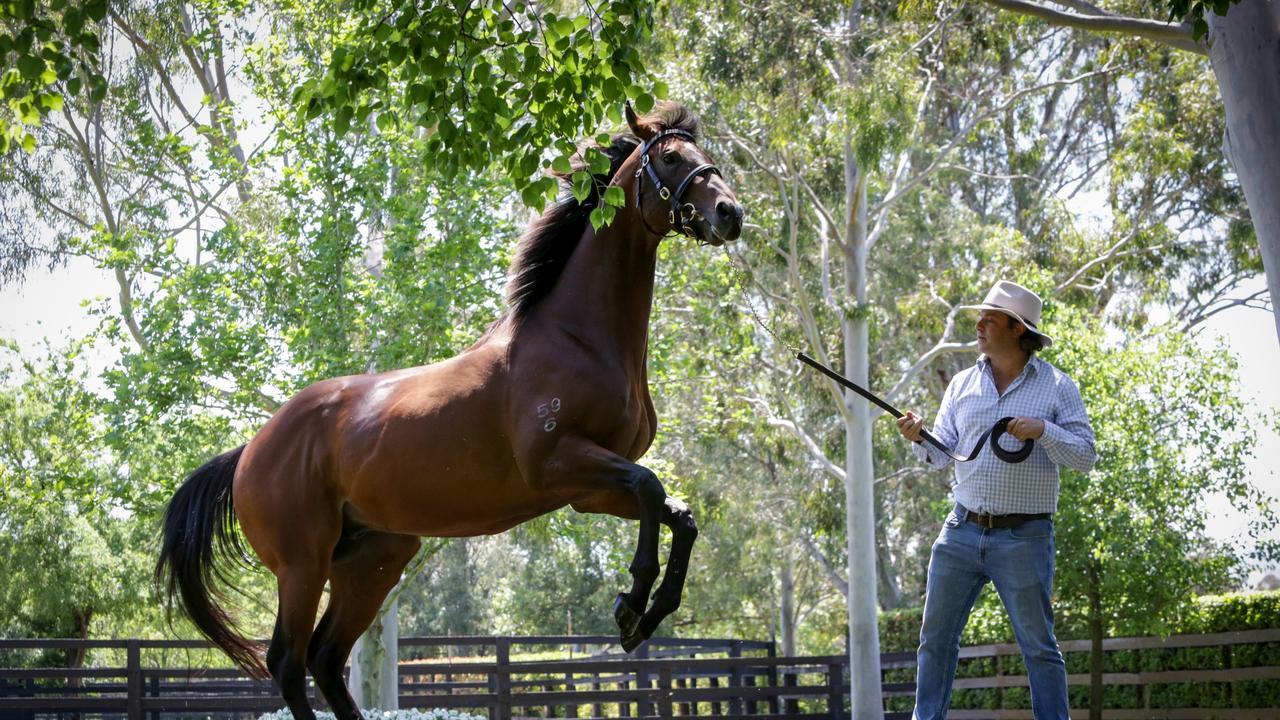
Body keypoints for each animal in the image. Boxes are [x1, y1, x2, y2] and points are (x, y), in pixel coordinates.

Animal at [154, 102, 747, 717]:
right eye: (671, 157)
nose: (730, 213)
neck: (577, 337)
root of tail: (251, 449)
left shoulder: (591, 491)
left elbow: (679, 515)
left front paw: (647, 613)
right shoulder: (561, 464)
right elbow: (653, 488)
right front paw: (631, 605)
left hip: (371, 562)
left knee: (326, 658)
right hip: (303, 565)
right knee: (289, 662)